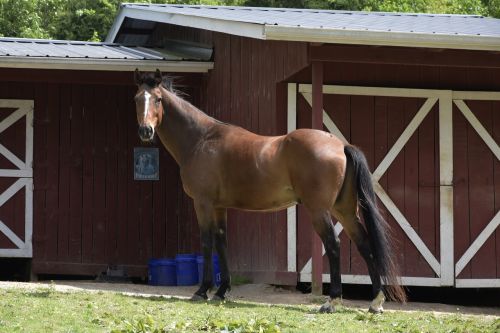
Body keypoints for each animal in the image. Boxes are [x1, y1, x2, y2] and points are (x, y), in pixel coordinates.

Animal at [134, 68, 406, 312]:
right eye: (137, 98)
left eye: (157, 99)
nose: (145, 131)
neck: (201, 139)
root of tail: (340, 145)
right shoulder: (219, 207)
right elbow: (222, 242)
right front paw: (222, 291)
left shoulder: (203, 203)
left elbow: (207, 242)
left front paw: (202, 291)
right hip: (345, 211)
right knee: (364, 244)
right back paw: (375, 302)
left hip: (319, 211)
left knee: (333, 244)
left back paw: (332, 301)